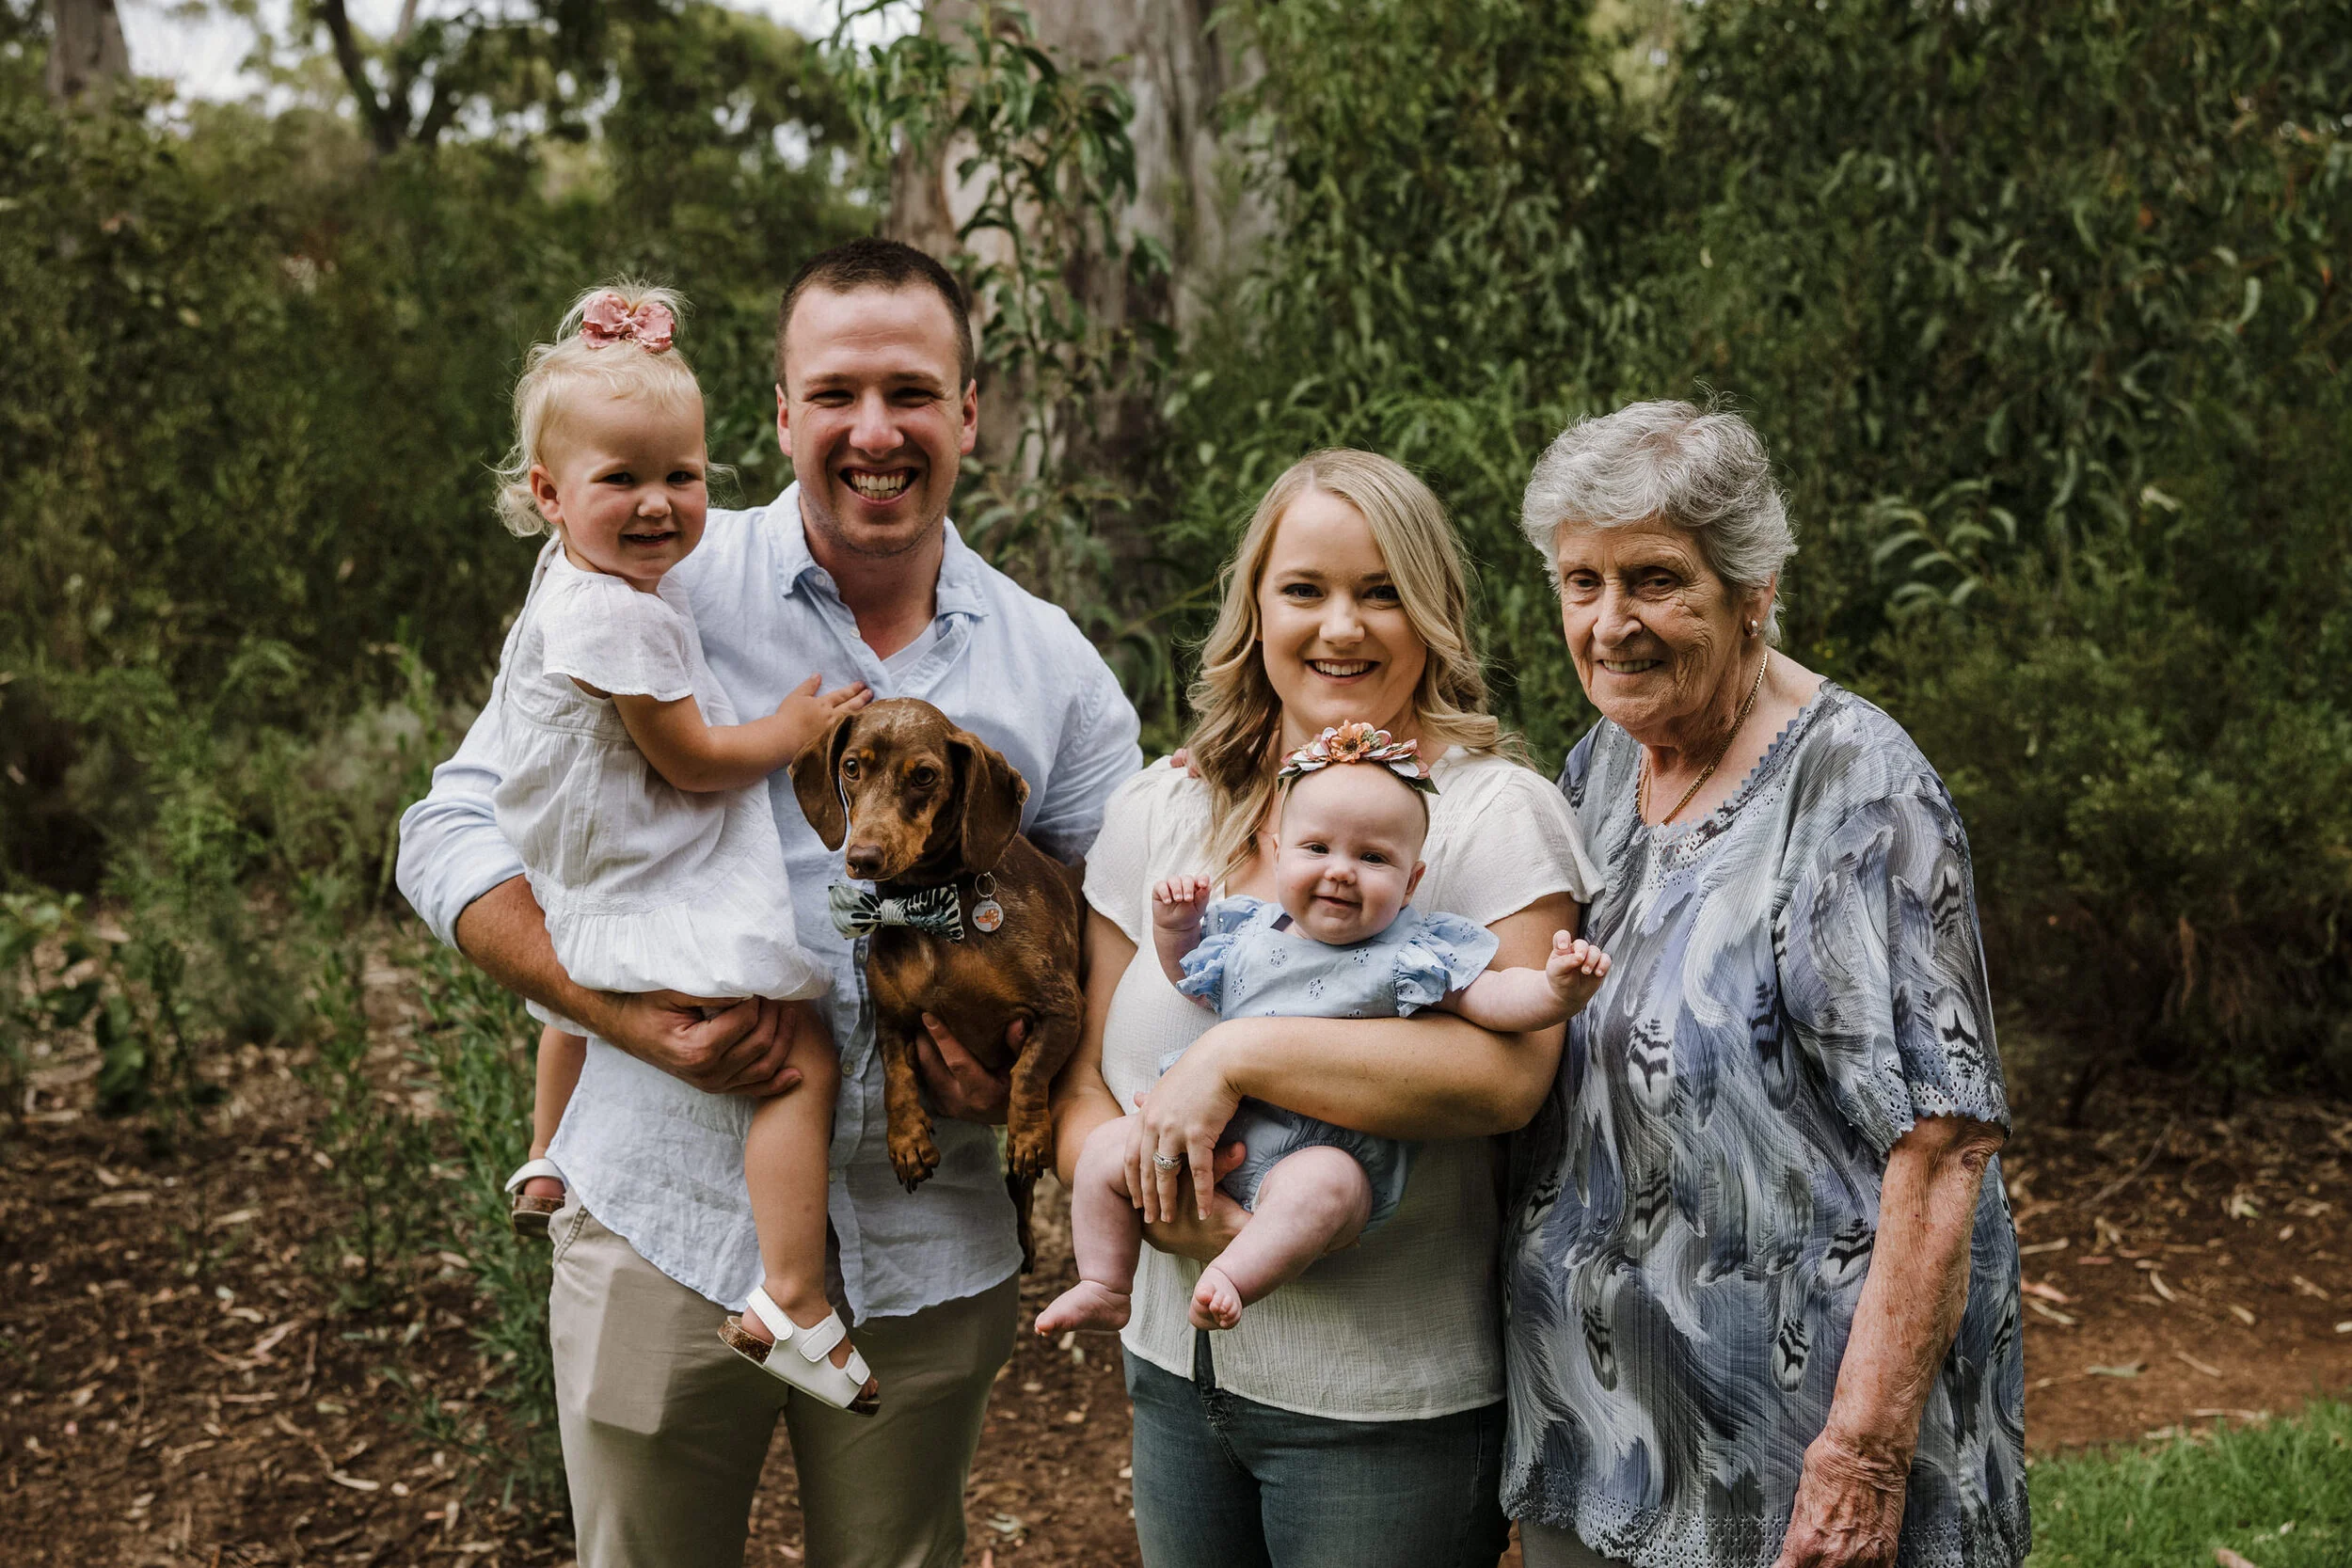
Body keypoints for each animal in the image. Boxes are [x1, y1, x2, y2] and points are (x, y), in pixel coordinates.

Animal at [790, 700, 1082, 1278]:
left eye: (924, 776)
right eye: (851, 767)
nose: (863, 857)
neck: (928, 908)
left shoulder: (1063, 1012)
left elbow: (1027, 1072)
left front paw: (1028, 1134)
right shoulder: (894, 1019)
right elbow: (897, 1079)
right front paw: (906, 1143)